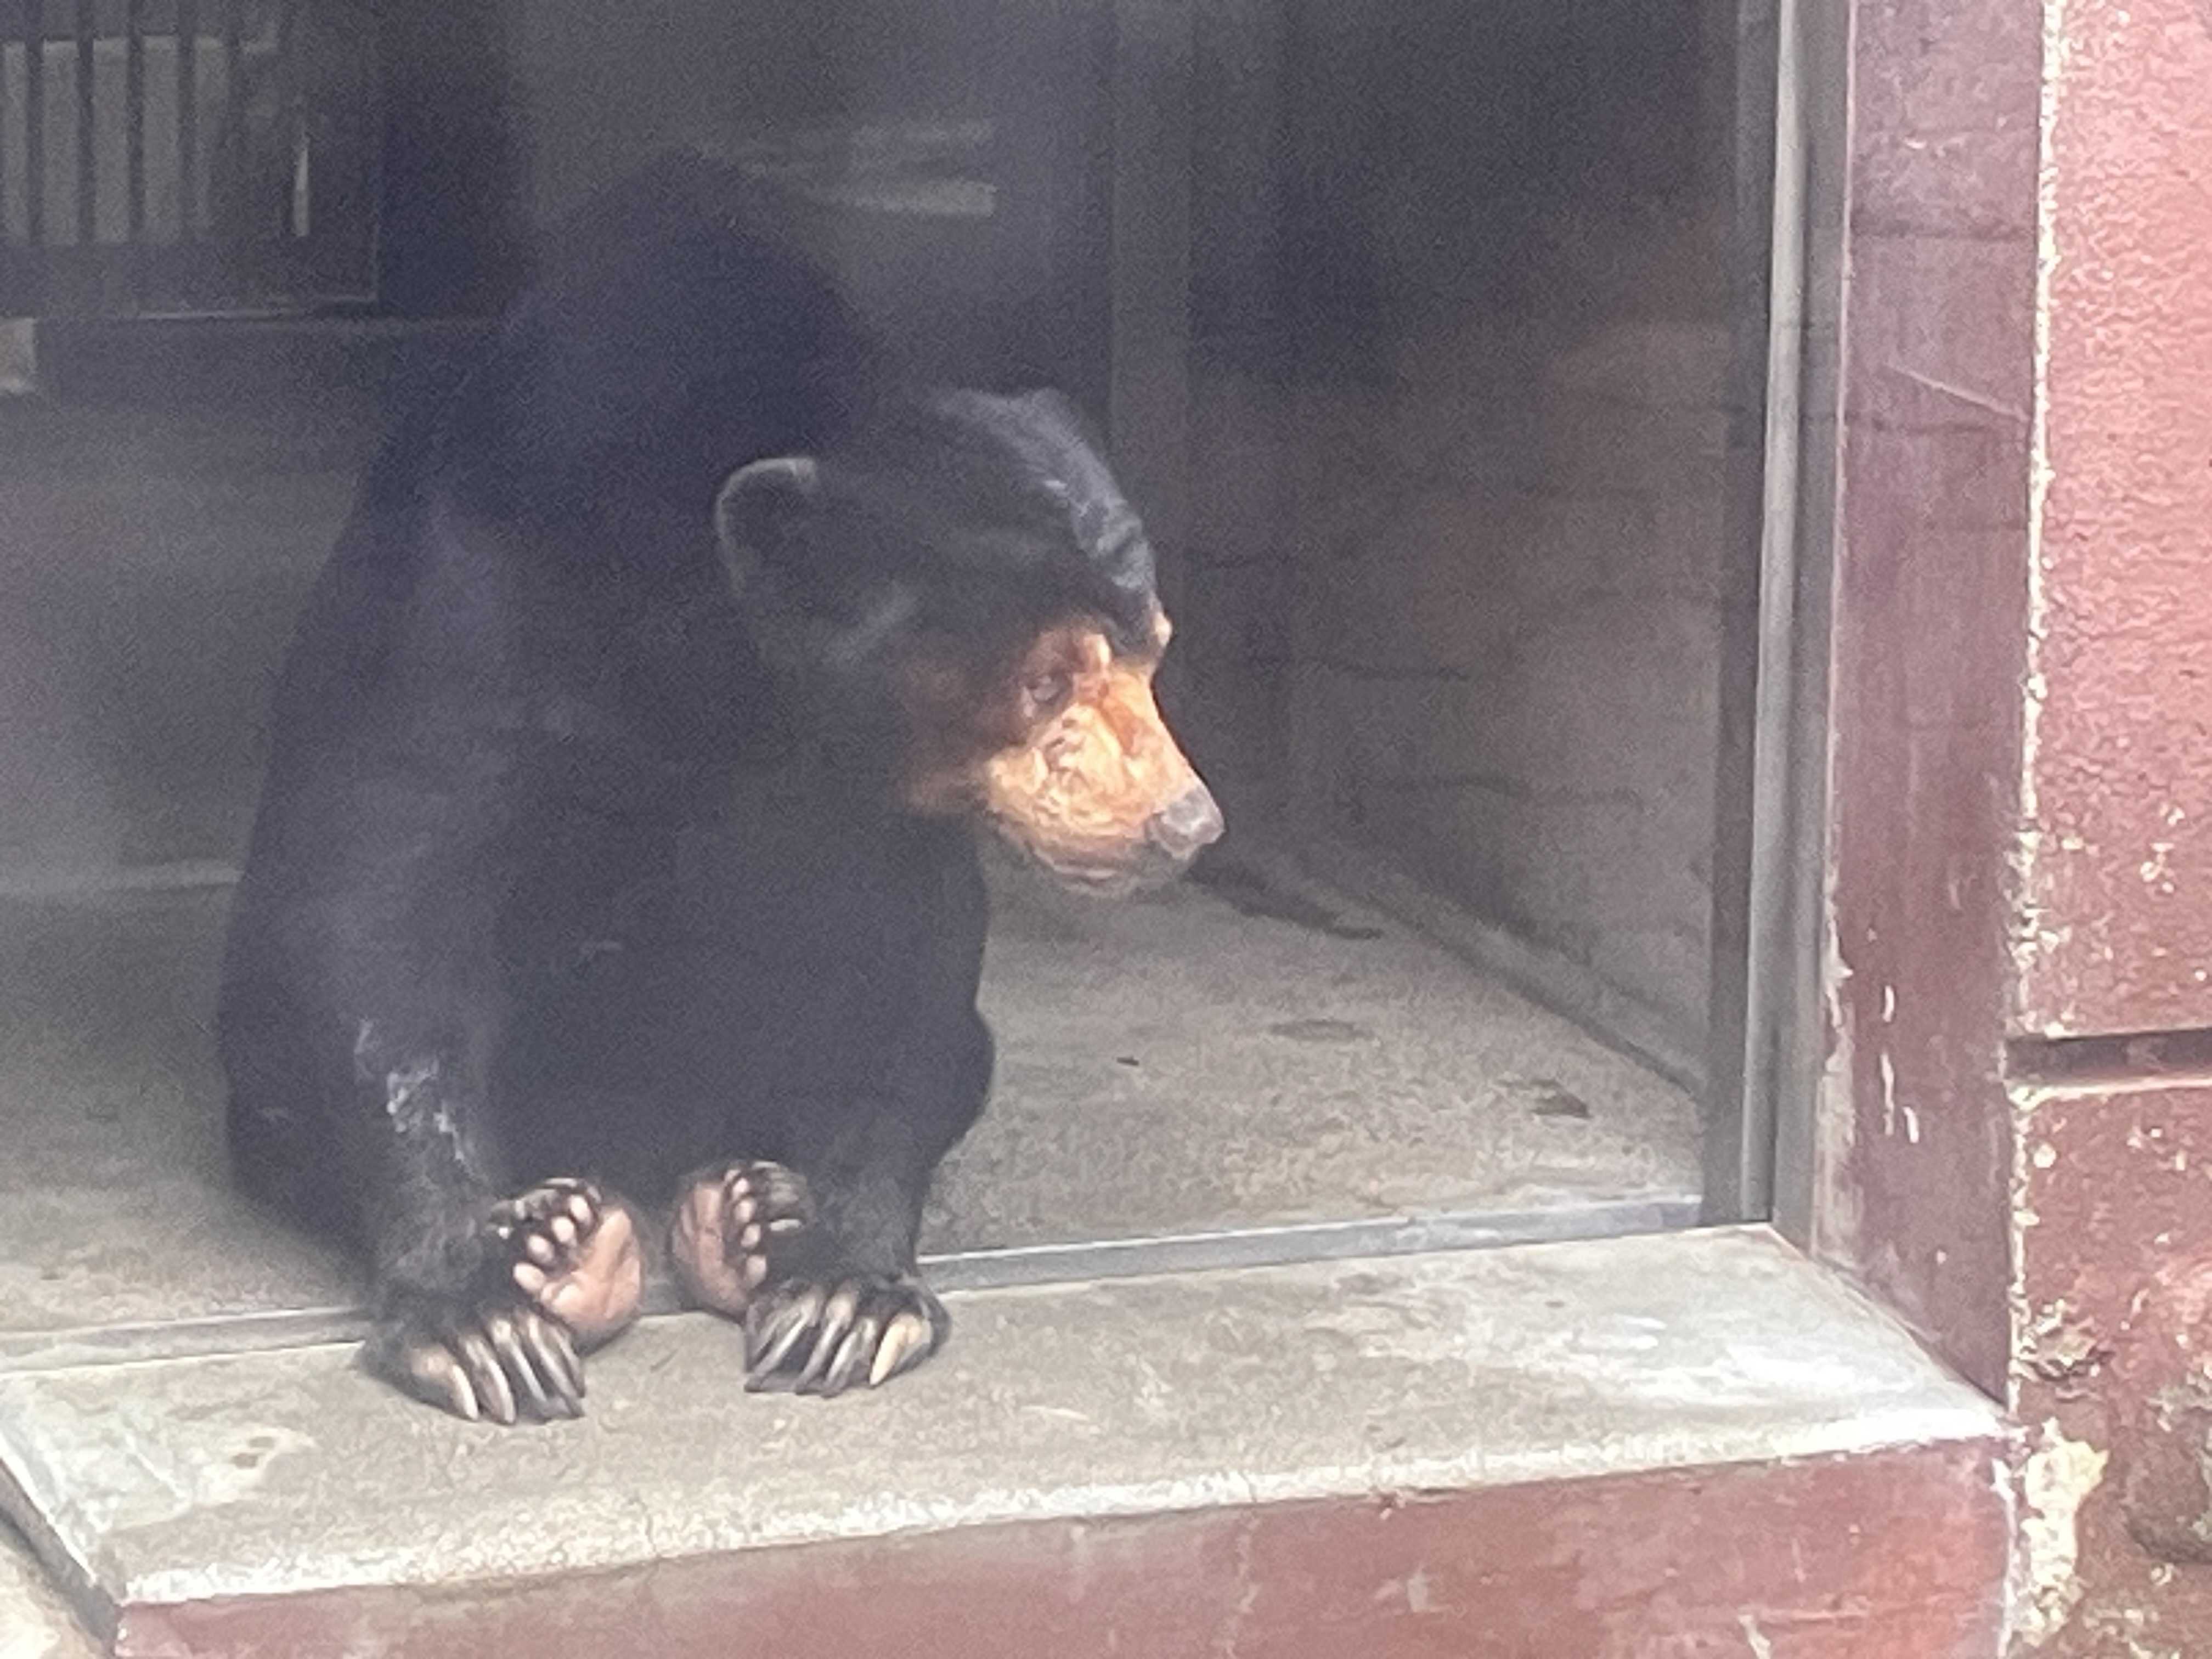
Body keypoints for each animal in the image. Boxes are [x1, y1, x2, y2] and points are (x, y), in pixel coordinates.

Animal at [220, 153, 1229, 1433]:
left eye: (1155, 646)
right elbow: (380, 914)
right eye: (1042, 678)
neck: (720, 660)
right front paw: (479, 1317)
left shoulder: (874, 791)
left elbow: (906, 970)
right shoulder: (467, 616)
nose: (1183, 824)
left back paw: (740, 1213)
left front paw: (846, 1293)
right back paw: (569, 1240)